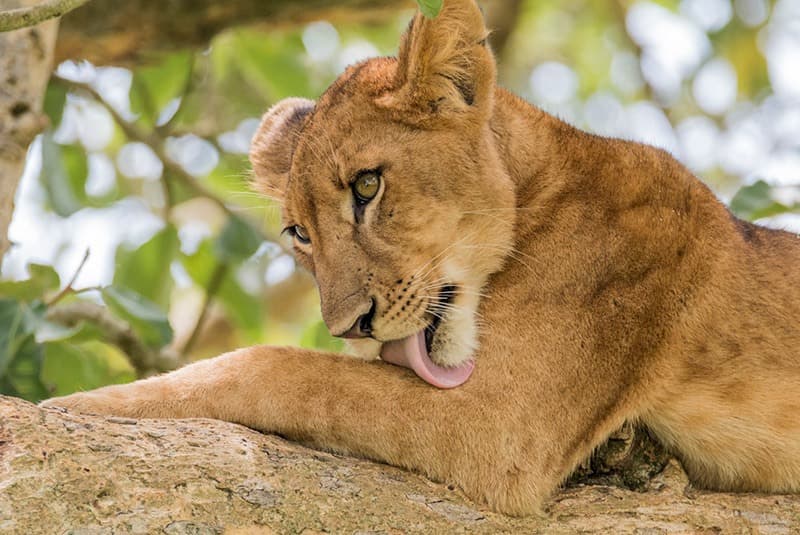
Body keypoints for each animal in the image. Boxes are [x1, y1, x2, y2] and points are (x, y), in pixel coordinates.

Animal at [42, 0, 800, 516]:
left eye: (367, 186)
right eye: (299, 233)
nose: (350, 326)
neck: (539, 186)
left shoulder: (503, 428)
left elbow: (276, 368)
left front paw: (77, 403)